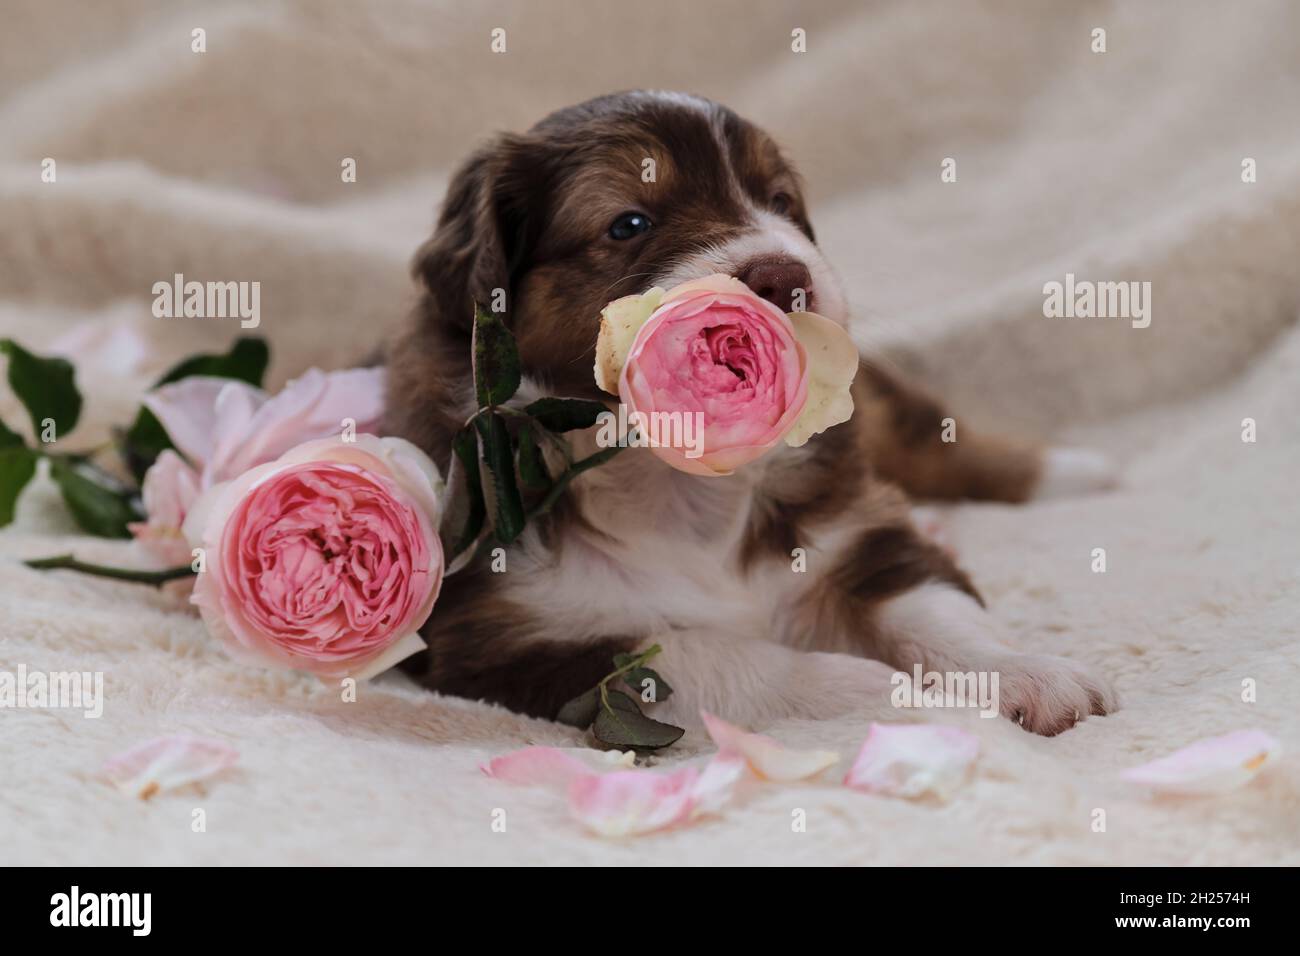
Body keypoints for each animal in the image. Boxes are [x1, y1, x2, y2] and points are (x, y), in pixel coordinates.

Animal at [382, 89, 1118, 738]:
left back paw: (1081, 472)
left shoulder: (857, 537)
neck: (684, 479)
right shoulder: (515, 642)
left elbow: (936, 608)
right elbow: (721, 657)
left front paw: (1029, 673)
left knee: (928, 437)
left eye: (781, 201)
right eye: (629, 224)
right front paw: (885, 691)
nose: (784, 275)